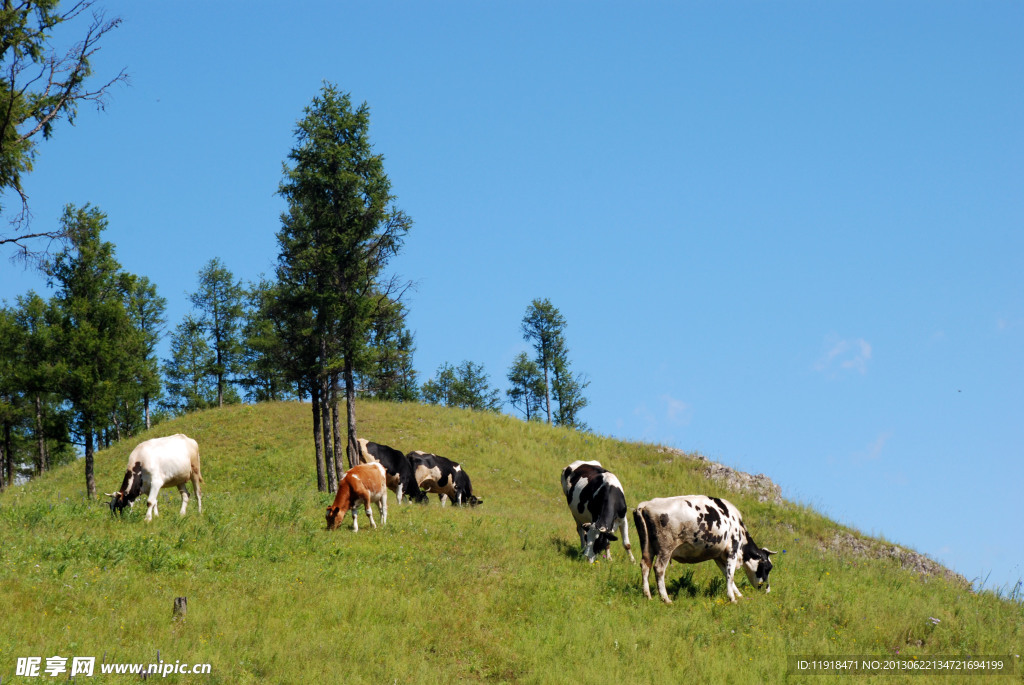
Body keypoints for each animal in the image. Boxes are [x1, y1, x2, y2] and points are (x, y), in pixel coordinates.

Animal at [630, 493, 774, 602]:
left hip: (647, 546)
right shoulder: (732, 551)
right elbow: (730, 575)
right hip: (666, 548)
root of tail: (646, 504)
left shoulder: (719, 556)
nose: (767, 590)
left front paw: (739, 595)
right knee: (659, 568)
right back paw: (666, 599)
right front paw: (733, 598)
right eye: (767, 567)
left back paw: (648, 595)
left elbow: (727, 574)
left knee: (645, 565)